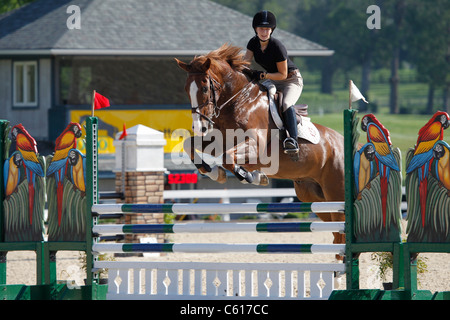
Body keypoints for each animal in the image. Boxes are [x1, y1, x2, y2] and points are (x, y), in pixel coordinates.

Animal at [175, 43, 344, 248]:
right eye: (186, 89)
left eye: (205, 88)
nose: (200, 127)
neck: (239, 102)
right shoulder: (221, 141)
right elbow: (189, 144)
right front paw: (213, 171)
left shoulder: (255, 146)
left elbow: (228, 158)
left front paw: (250, 176)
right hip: (314, 197)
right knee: (337, 234)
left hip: (336, 194)